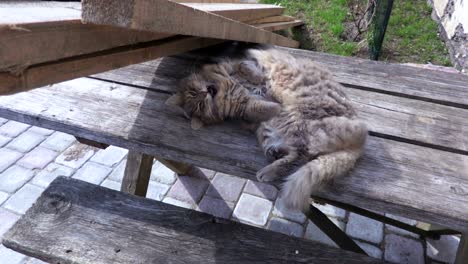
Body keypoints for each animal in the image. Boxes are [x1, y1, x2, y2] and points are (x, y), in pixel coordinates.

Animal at [166, 46, 368, 211]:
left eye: (196, 92)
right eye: (199, 104)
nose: (206, 92)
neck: (227, 88)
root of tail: (360, 143)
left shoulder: (241, 68)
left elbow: (246, 67)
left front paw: (260, 82)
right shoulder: (244, 105)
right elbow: (255, 103)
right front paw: (265, 97)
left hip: (297, 123)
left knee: (301, 155)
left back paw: (268, 169)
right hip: (276, 129)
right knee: (297, 154)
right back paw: (272, 160)